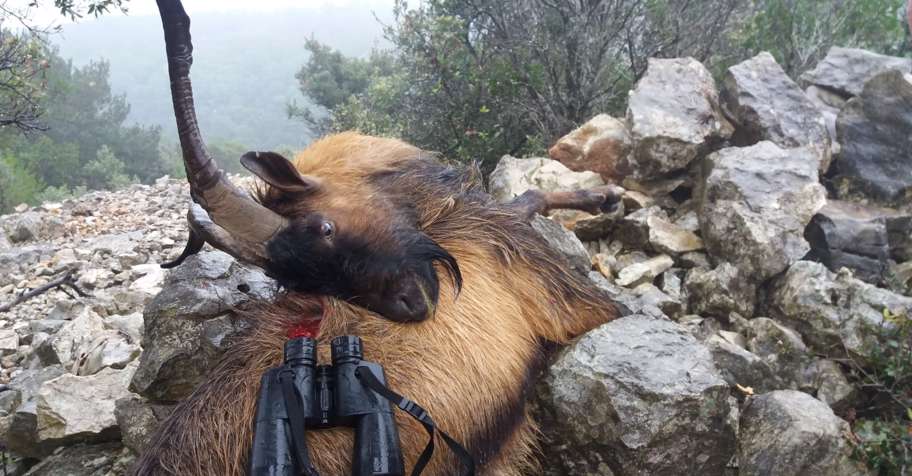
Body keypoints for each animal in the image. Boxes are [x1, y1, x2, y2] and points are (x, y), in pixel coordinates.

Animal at [134, 1, 623, 474]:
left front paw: (604, 196)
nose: (415, 304)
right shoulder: (548, 280)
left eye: (324, 228)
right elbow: (537, 207)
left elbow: (531, 194)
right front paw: (604, 197)